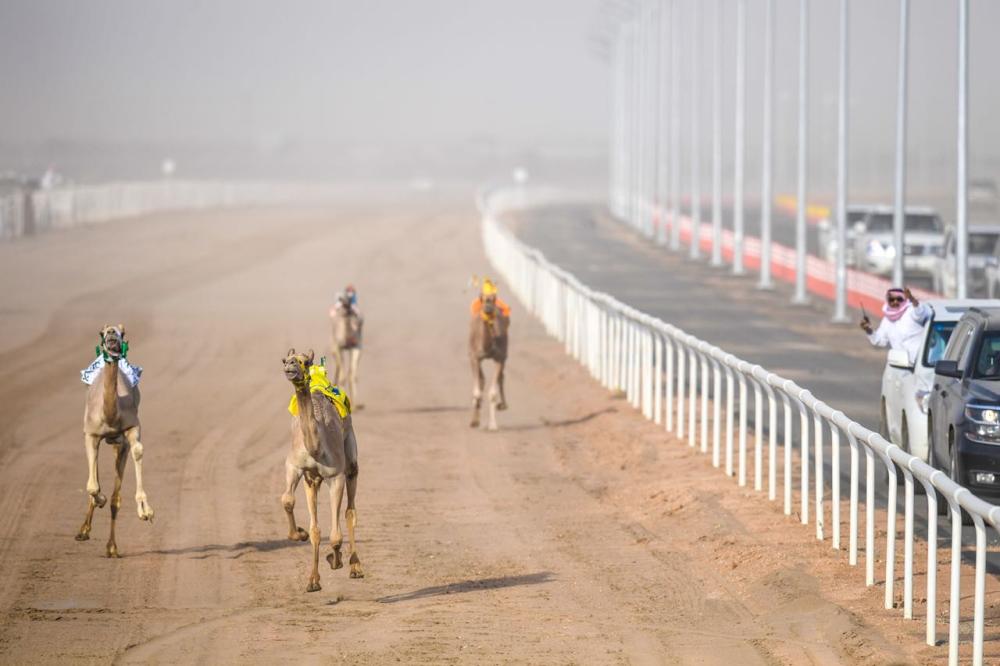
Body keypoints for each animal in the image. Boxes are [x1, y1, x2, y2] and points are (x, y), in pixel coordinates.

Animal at [76, 322, 154, 556]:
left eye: (123, 331)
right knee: (95, 481)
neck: (110, 416)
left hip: (118, 443)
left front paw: (145, 511)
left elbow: (138, 450)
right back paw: (83, 531)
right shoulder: (91, 434)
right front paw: (98, 499)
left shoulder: (131, 428)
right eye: (101, 332)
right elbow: (93, 486)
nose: (111, 331)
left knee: (115, 496)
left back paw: (111, 547)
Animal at [282, 344, 364, 588]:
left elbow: (336, 535)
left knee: (350, 510)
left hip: (350, 453)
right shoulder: (296, 467)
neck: (317, 448)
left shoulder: (335, 475)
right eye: (285, 360)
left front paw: (335, 561)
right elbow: (290, 502)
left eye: (305, 361)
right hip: (313, 480)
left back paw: (355, 567)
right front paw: (312, 579)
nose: (291, 367)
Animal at [466, 278, 508, 428]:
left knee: (501, 376)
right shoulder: (474, 357)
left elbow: (493, 394)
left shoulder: (499, 358)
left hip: (505, 355)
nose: (488, 306)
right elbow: (477, 391)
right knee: (482, 380)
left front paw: (493, 425)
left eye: (494, 298)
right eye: (482, 298)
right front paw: (474, 421)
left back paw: (503, 405)